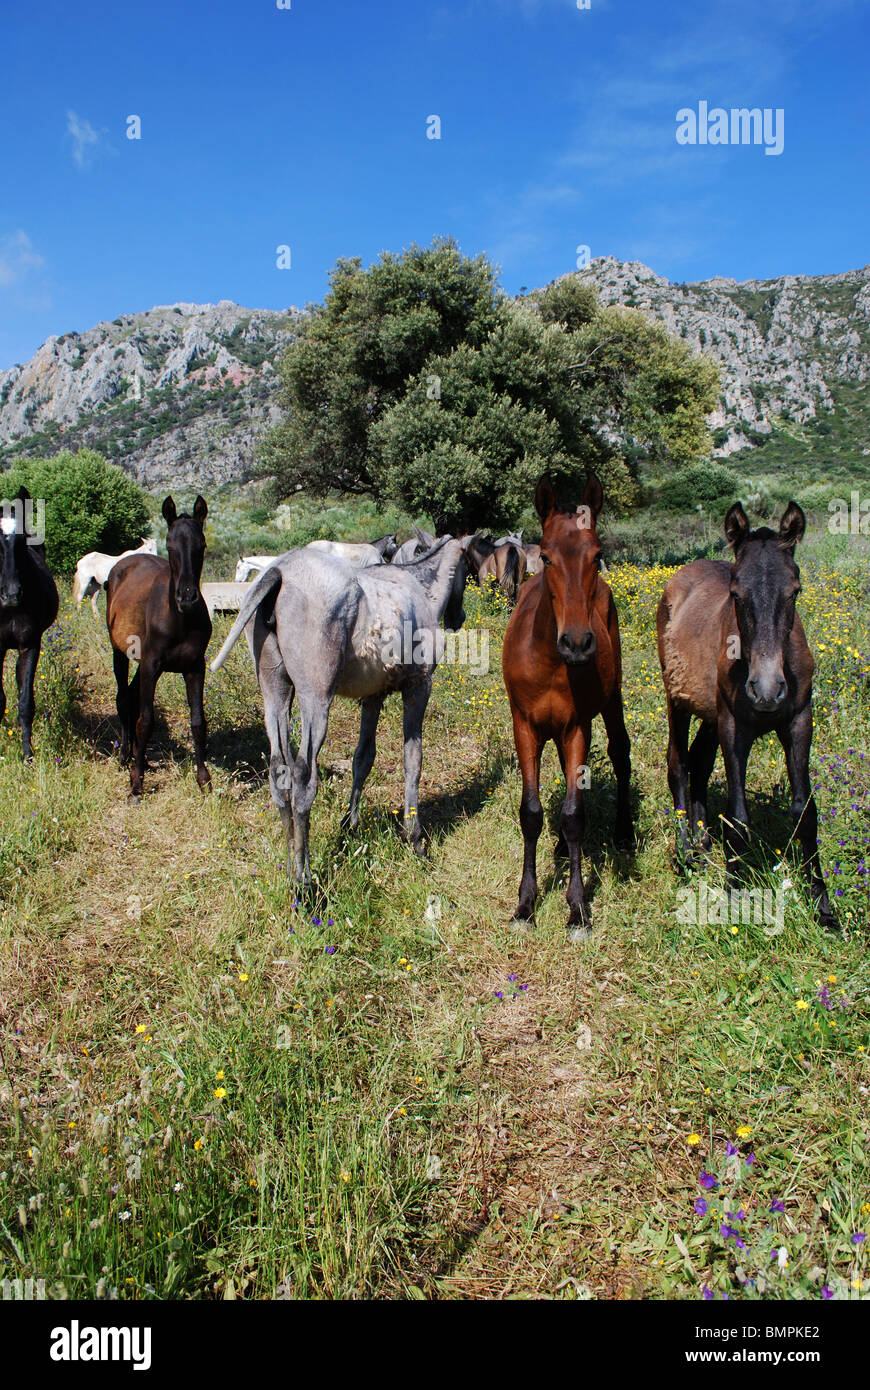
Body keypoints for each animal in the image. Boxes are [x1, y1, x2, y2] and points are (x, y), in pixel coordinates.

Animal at [105, 496, 212, 799]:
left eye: (201, 545)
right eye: (170, 545)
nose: (187, 598)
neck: (179, 619)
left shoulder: (194, 667)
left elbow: (198, 722)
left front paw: (204, 780)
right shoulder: (151, 666)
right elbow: (146, 721)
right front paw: (136, 783)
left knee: (130, 696)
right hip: (120, 652)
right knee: (122, 697)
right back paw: (125, 756)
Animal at [210, 537, 466, 889]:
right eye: (467, 567)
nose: (459, 616)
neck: (418, 587)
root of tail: (278, 571)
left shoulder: (373, 697)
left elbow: (363, 759)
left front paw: (350, 825)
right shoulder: (418, 687)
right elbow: (412, 760)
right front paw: (414, 839)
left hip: (275, 691)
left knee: (278, 771)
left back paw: (290, 866)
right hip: (315, 698)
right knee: (303, 777)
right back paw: (303, 881)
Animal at [501, 474, 632, 939]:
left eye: (597, 555)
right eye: (546, 556)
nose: (577, 643)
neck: (550, 662)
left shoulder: (577, 726)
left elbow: (575, 814)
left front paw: (577, 909)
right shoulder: (525, 726)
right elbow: (531, 813)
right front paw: (525, 906)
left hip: (612, 698)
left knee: (620, 752)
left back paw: (625, 833)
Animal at [656, 500, 836, 929]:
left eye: (795, 590)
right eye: (736, 593)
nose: (767, 689)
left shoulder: (799, 721)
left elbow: (805, 812)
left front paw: (822, 905)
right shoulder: (734, 726)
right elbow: (738, 817)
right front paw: (735, 898)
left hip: (709, 712)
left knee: (700, 761)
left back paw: (702, 842)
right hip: (679, 700)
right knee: (678, 763)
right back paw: (687, 855)